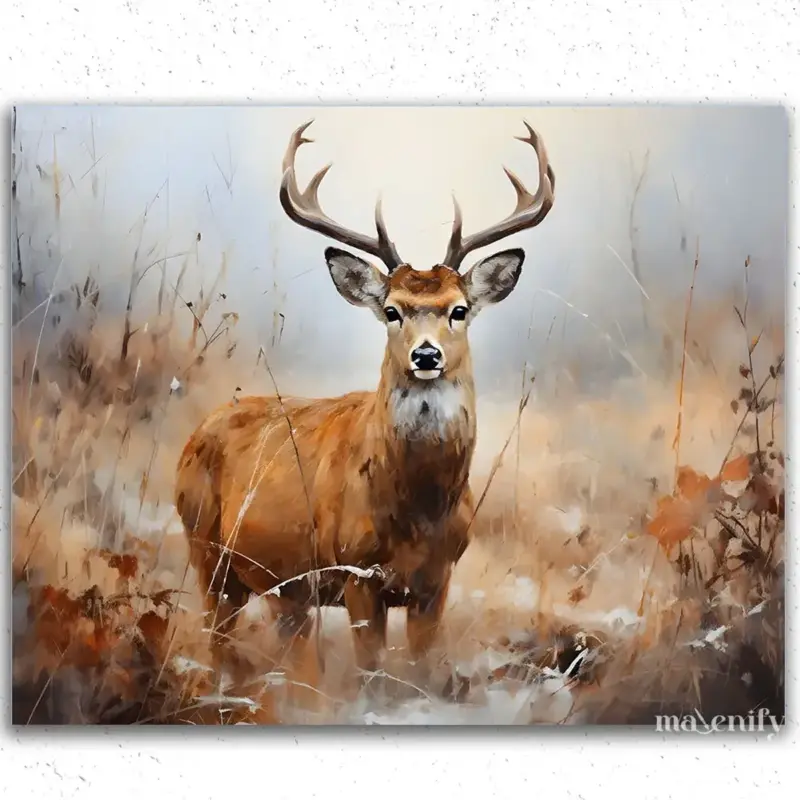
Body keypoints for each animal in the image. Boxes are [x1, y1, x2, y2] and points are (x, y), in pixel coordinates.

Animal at [175, 118, 555, 686]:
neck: (418, 511)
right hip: (205, 550)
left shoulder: (437, 580)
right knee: (218, 643)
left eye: (459, 309)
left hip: (283, 587)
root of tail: (195, 434)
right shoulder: (357, 573)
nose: (426, 355)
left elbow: (421, 670)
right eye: (392, 311)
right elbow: (370, 672)